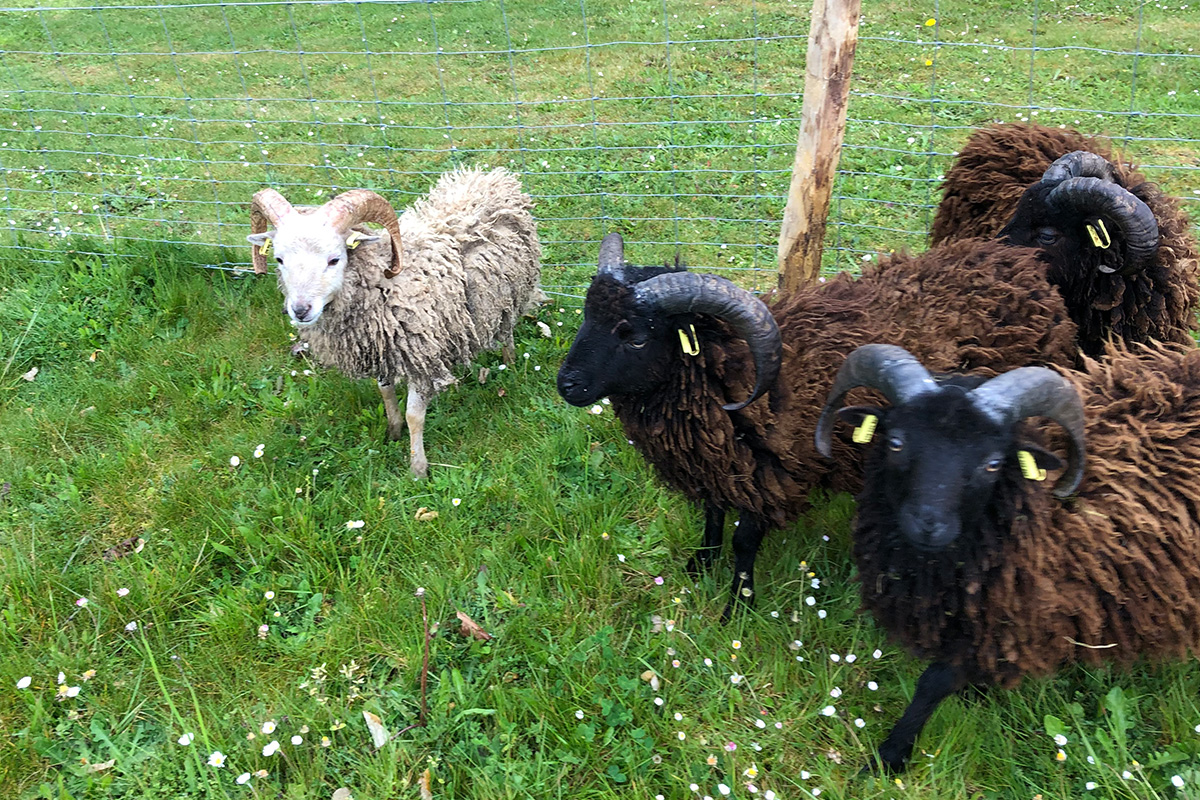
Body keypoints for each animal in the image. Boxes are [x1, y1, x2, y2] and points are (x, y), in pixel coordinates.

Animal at [247, 167, 543, 478]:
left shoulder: (422, 355)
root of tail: (489, 176)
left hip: (509, 292)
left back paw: (510, 360)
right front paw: (393, 431)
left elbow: (415, 415)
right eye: (279, 259)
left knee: (506, 329)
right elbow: (386, 393)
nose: (300, 310)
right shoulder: (381, 349)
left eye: (334, 259)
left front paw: (418, 468)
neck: (387, 282)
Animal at [557, 232, 1083, 619]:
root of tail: (1024, 262)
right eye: (587, 315)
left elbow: (744, 541)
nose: (567, 385)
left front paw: (737, 608)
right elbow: (711, 514)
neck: (733, 374)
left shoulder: (773, 473)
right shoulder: (718, 462)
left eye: (635, 336)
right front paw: (698, 565)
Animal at [815, 341, 1200, 773]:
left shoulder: (1004, 616)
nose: (928, 525)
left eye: (993, 463)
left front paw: (890, 756)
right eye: (896, 442)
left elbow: (933, 683)